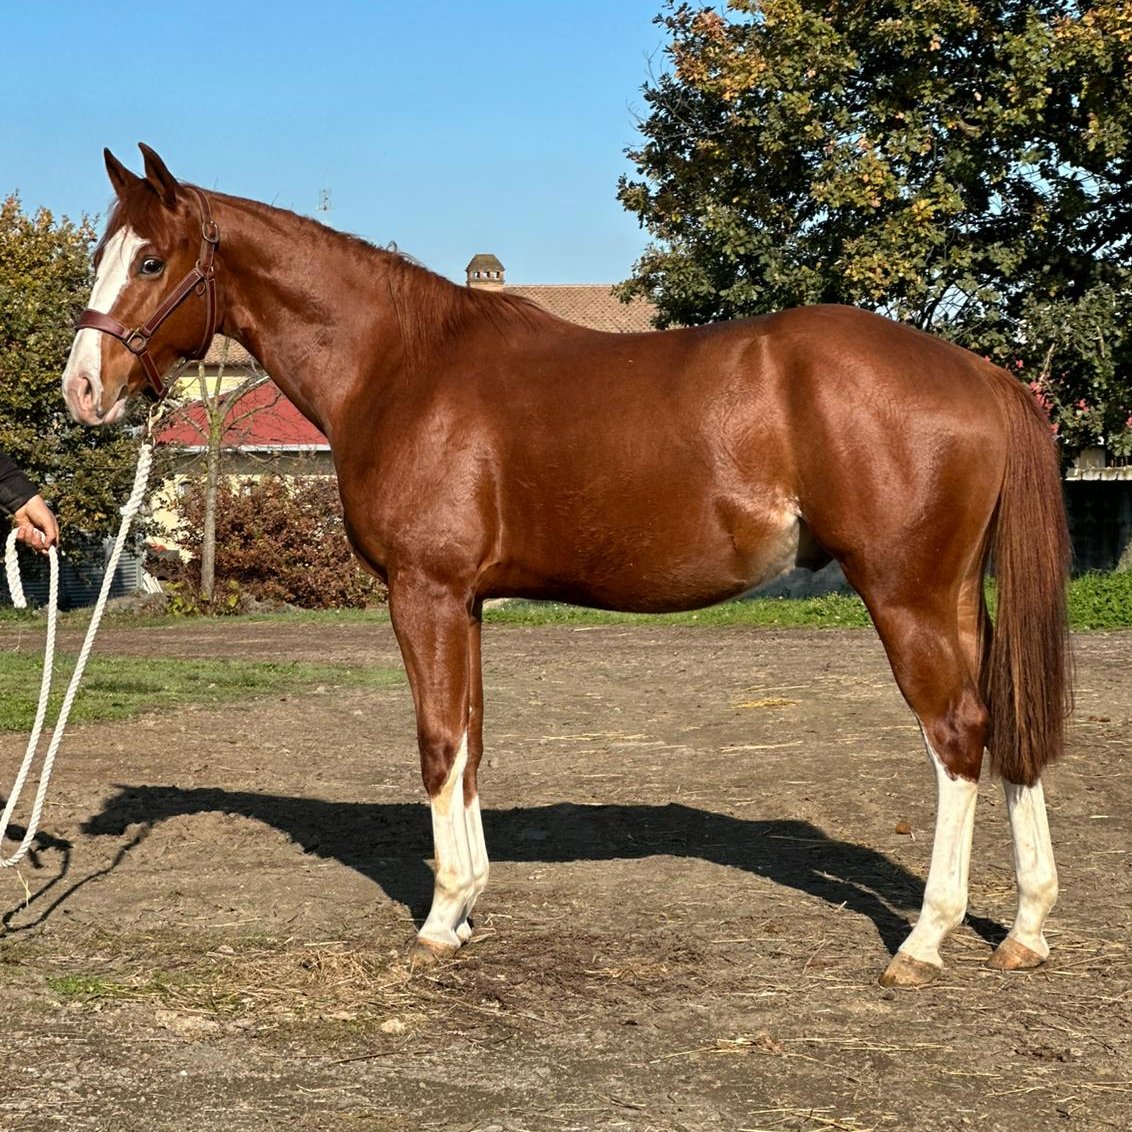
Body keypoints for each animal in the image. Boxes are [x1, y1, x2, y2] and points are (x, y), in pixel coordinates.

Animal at [62, 145, 1071, 988]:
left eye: (151, 261)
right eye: (105, 254)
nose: (81, 389)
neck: (402, 365)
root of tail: (985, 375)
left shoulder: (425, 594)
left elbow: (438, 743)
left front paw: (439, 919)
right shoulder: (465, 602)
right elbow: (471, 742)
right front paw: (468, 906)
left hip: (907, 596)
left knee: (958, 736)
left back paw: (925, 940)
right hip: (956, 598)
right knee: (1006, 724)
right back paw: (1024, 928)